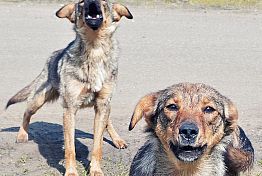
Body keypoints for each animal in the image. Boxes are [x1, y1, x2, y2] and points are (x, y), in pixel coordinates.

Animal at [5, 0, 133, 175]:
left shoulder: (102, 105)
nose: (91, 1)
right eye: (81, 3)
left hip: (105, 105)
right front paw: (71, 171)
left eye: (104, 2)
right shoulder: (69, 109)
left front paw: (96, 170)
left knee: (108, 121)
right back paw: (22, 135)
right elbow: (70, 148)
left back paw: (118, 139)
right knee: (26, 111)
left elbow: (97, 145)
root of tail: (54, 55)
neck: (94, 48)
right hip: (39, 99)